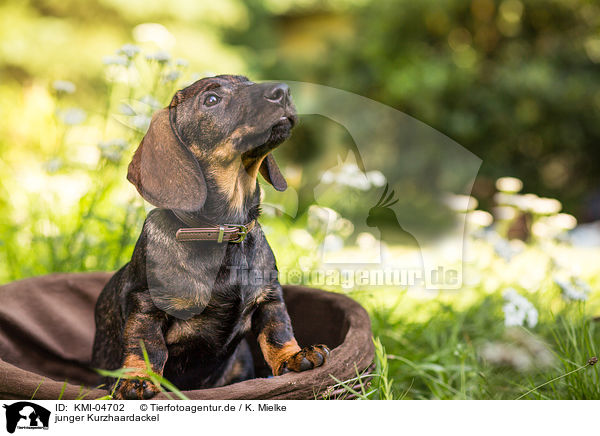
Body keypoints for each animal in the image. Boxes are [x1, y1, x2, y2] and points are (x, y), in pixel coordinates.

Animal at [91, 75, 330, 398]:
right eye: (211, 100)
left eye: (249, 82)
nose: (283, 92)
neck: (223, 232)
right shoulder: (146, 307)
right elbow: (148, 348)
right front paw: (137, 379)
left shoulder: (270, 297)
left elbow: (278, 331)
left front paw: (293, 357)